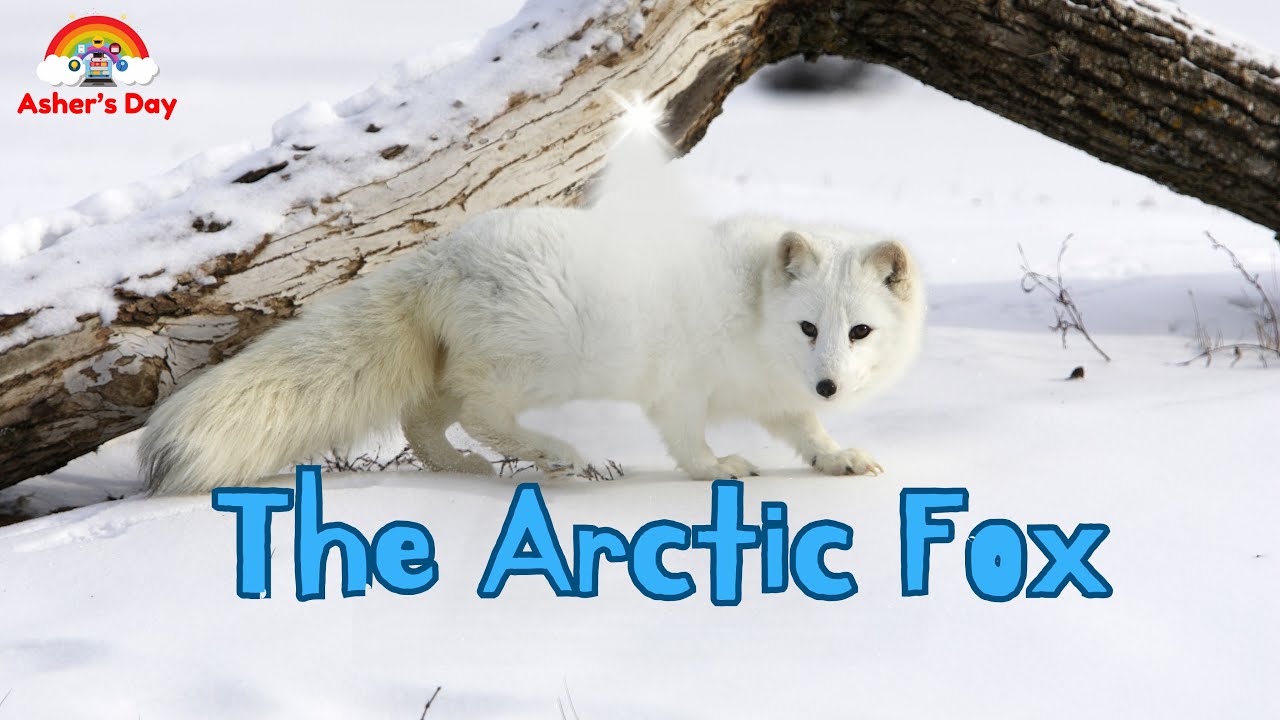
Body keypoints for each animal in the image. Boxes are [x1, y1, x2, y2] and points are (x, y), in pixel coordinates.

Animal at [140, 130, 926, 495]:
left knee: (424, 417)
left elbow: (806, 431)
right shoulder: (681, 387)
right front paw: (719, 470)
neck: (753, 312)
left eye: (859, 331)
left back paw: (459, 468)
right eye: (809, 327)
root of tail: (440, 253)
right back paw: (555, 455)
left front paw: (841, 457)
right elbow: (688, 441)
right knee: (477, 410)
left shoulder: (773, 394)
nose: (830, 382)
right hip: (539, 361)